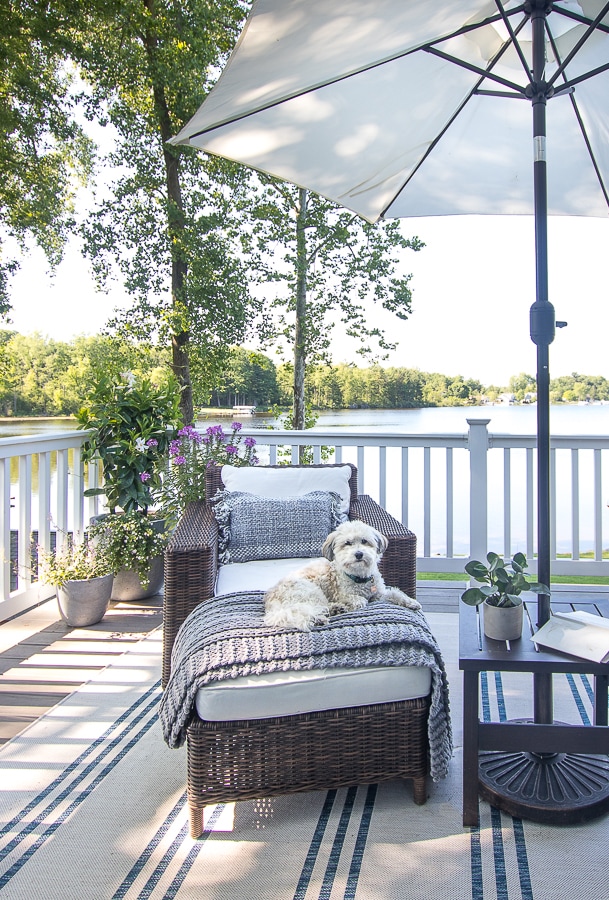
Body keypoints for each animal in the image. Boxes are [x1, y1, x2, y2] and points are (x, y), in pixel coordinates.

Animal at [264, 516, 420, 628]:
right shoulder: (343, 594)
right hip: (311, 591)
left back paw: (334, 610)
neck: (359, 577)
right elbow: (360, 600)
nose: (359, 554)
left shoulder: (380, 593)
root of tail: (271, 599)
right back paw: (323, 616)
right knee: (308, 609)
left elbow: (395, 593)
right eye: (347, 543)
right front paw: (353, 603)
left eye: (364, 541)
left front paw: (411, 602)